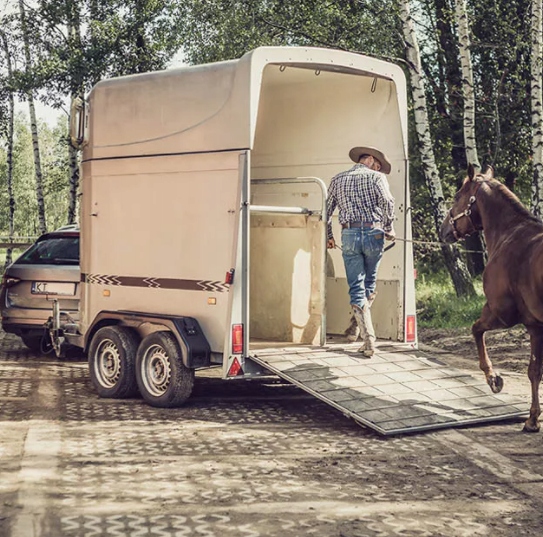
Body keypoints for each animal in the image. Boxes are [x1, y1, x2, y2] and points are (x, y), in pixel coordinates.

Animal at [440, 163, 543, 432]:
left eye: (457, 196)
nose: (444, 230)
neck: (511, 233)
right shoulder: (536, 326)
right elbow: (536, 371)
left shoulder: (503, 315)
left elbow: (476, 330)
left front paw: (494, 379)